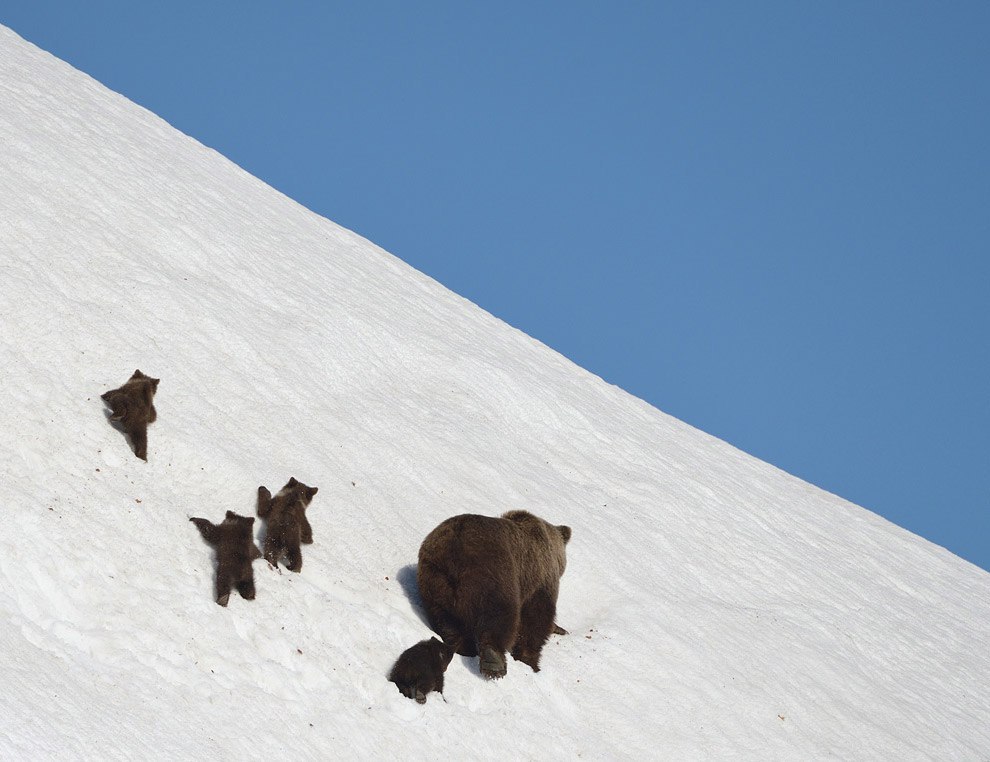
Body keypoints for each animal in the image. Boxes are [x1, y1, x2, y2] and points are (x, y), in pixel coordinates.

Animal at [418, 508, 572, 680]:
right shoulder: (537, 579)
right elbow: (534, 621)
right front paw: (531, 662)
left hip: (435, 580)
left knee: (446, 619)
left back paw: (463, 648)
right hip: (492, 573)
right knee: (498, 616)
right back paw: (493, 661)